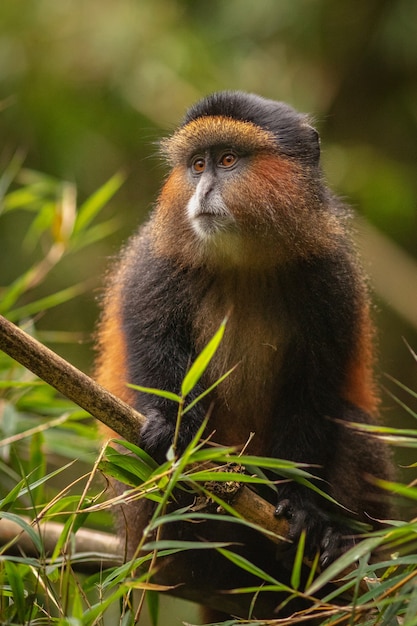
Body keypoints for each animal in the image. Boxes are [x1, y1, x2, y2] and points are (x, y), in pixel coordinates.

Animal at [94, 90, 394, 616]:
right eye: (197, 165)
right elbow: (151, 345)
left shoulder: (331, 279)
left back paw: (335, 547)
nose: (201, 190)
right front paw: (172, 429)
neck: (243, 262)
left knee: (354, 428)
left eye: (228, 160)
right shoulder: (156, 263)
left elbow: (313, 392)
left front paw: (303, 507)